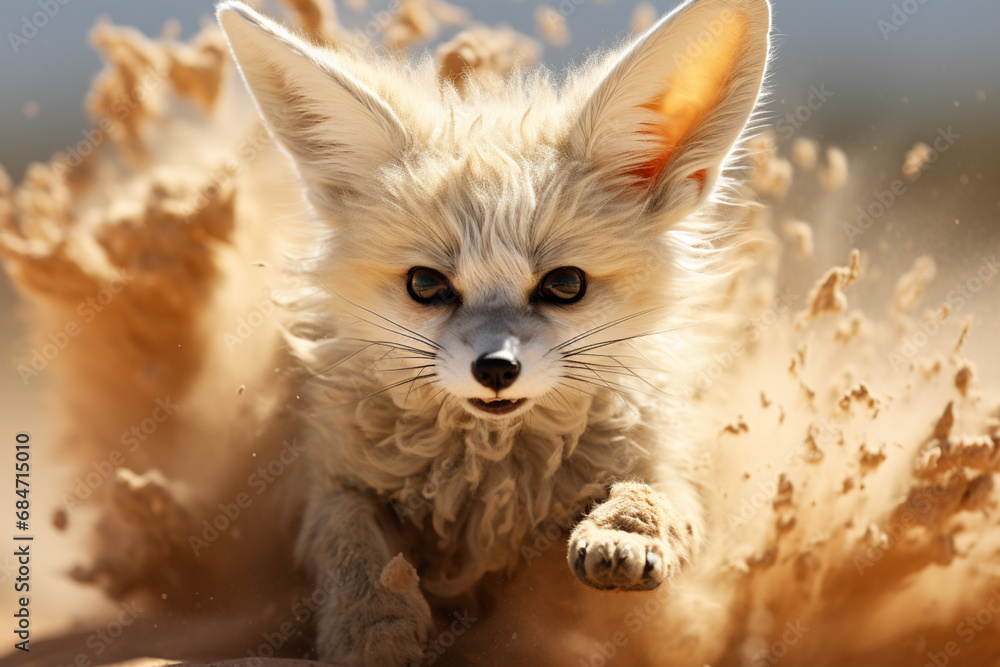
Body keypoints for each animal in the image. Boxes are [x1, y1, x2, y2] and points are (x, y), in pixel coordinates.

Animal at [215, 0, 771, 664]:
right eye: (426, 285)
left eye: (565, 285)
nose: (496, 369)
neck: (491, 474)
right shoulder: (328, 477)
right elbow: (352, 546)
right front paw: (372, 629)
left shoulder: (666, 454)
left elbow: (656, 495)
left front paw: (623, 530)